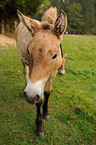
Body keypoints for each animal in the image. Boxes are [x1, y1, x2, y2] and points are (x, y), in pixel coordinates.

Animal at [16, 8, 67, 138]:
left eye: (55, 55)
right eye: (28, 50)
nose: (30, 96)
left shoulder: (53, 73)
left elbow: (47, 93)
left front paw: (46, 114)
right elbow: (39, 99)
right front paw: (39, 127)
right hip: (23, 62)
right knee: (25, 72)